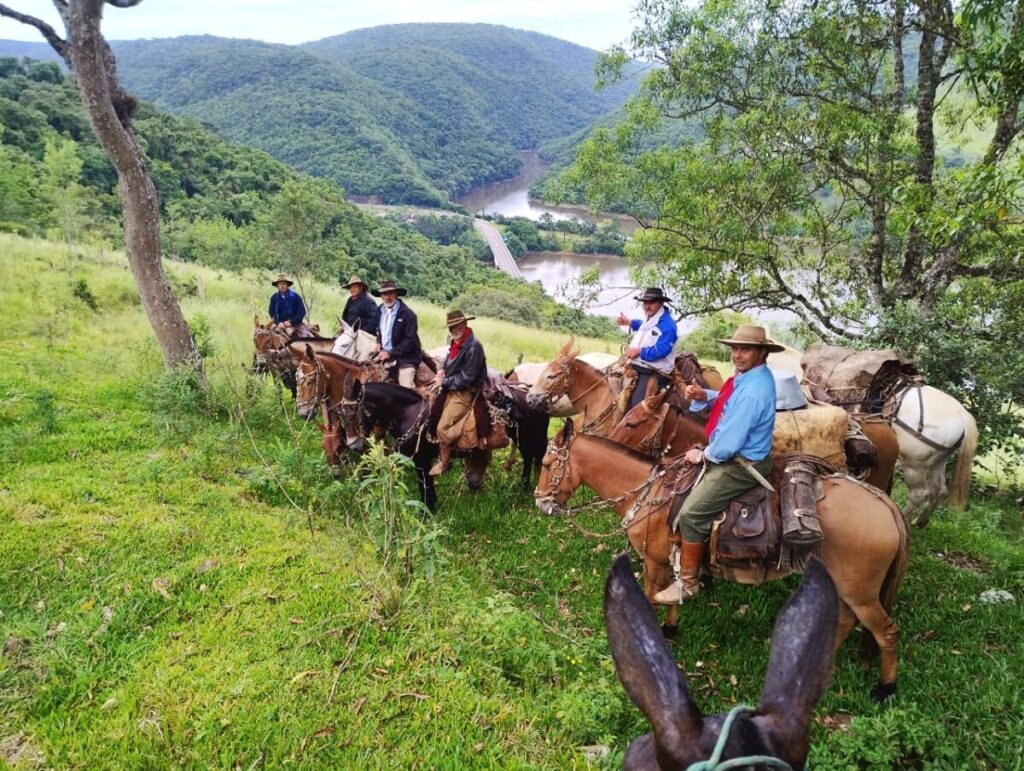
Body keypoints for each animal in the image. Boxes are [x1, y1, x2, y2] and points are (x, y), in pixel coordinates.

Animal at [532, 421, 909, 696]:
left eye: (548, 464)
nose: (540, 503)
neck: (649, 492)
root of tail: (883, 503)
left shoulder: (653, 563)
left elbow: (651, 598)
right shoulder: (669, 560)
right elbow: (673, 593)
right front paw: (670, 628)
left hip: (860, 591)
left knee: (887, 633)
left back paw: (885, 688)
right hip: (845, 585)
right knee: (845, 621)